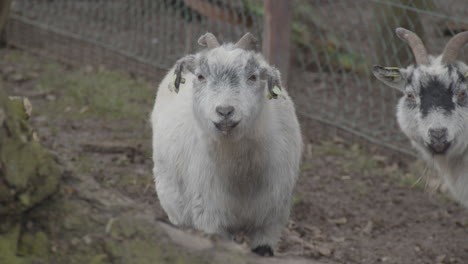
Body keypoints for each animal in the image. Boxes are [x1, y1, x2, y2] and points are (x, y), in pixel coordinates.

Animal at [151, 33, 304, 256]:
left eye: (253, 77)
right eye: (200, 76)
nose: (225, 111)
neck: (241, 176)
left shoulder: (271, 222)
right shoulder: (210, 217)